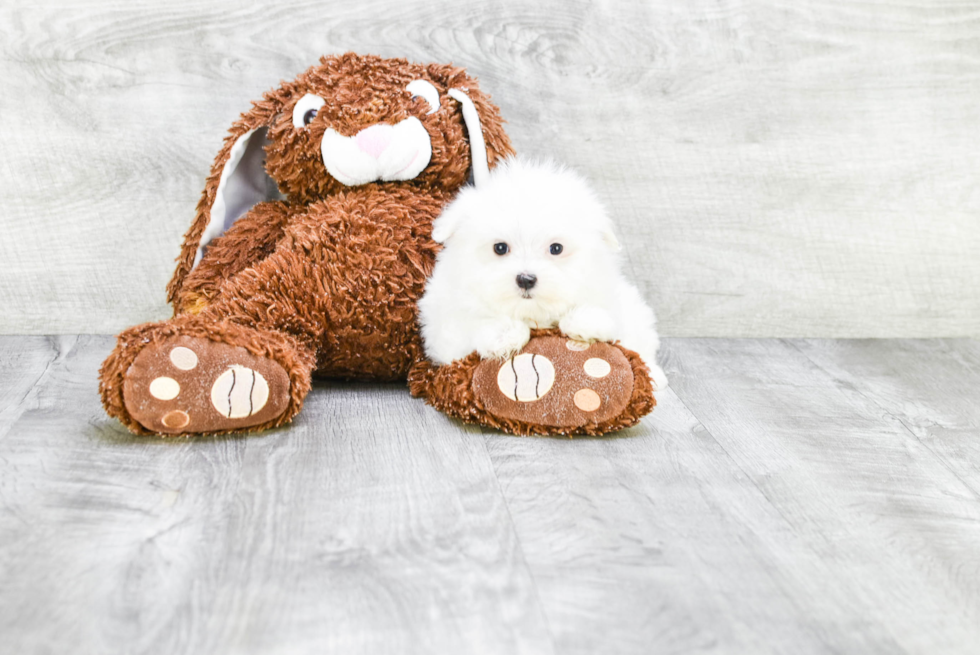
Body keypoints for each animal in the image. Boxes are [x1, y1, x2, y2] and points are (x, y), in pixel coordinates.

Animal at [418, 156, 668, 392]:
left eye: (556, 248)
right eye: (500, 248)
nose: (526, 279)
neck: (533, 315)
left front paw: (585, 322)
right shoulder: (444, 328)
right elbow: (469, 328)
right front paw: (504, 334)